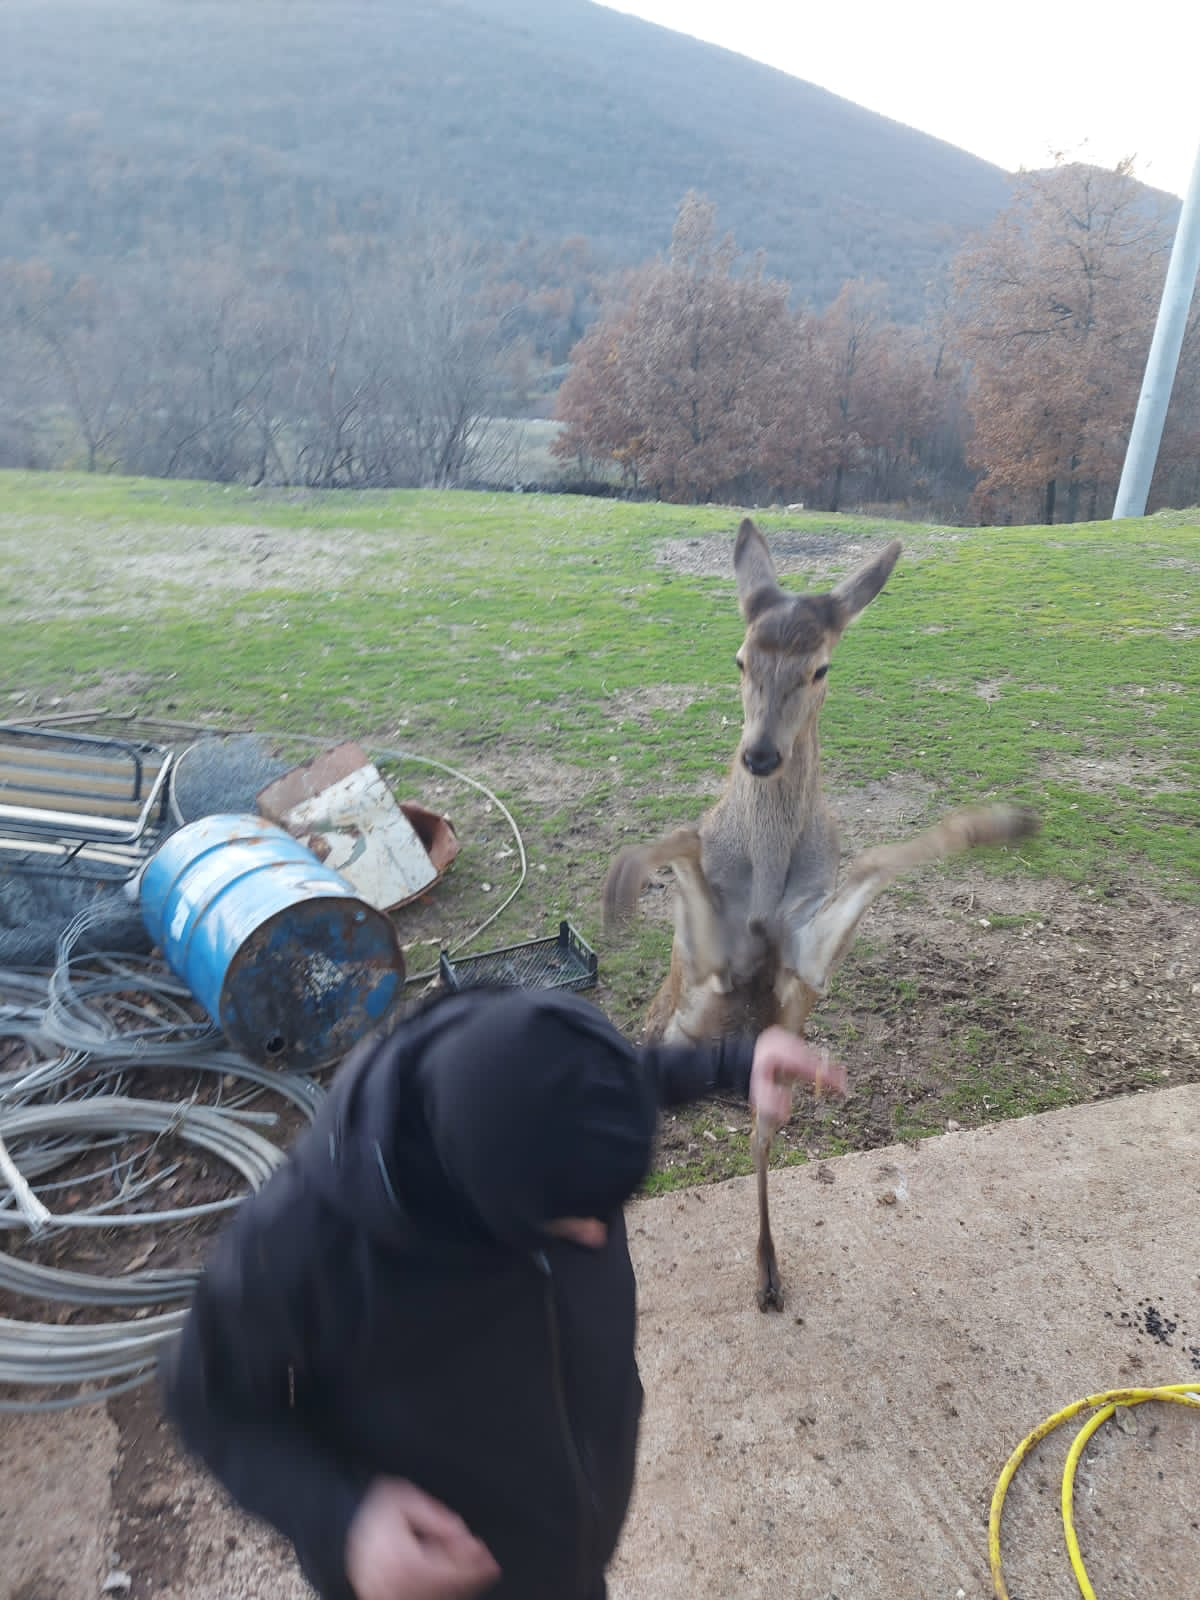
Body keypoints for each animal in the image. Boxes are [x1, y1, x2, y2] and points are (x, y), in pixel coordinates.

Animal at [604, 521, 1036, 1312]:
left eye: (820, 669)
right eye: (741, 656)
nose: (760, 755)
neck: (768, 876)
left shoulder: (805, 964)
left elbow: (872, 864)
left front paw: (1005, 824)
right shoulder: (704, 959)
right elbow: (686, 838)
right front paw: (622, 875)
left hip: (764, 1066)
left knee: (760, 1136)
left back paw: (768, 1271)